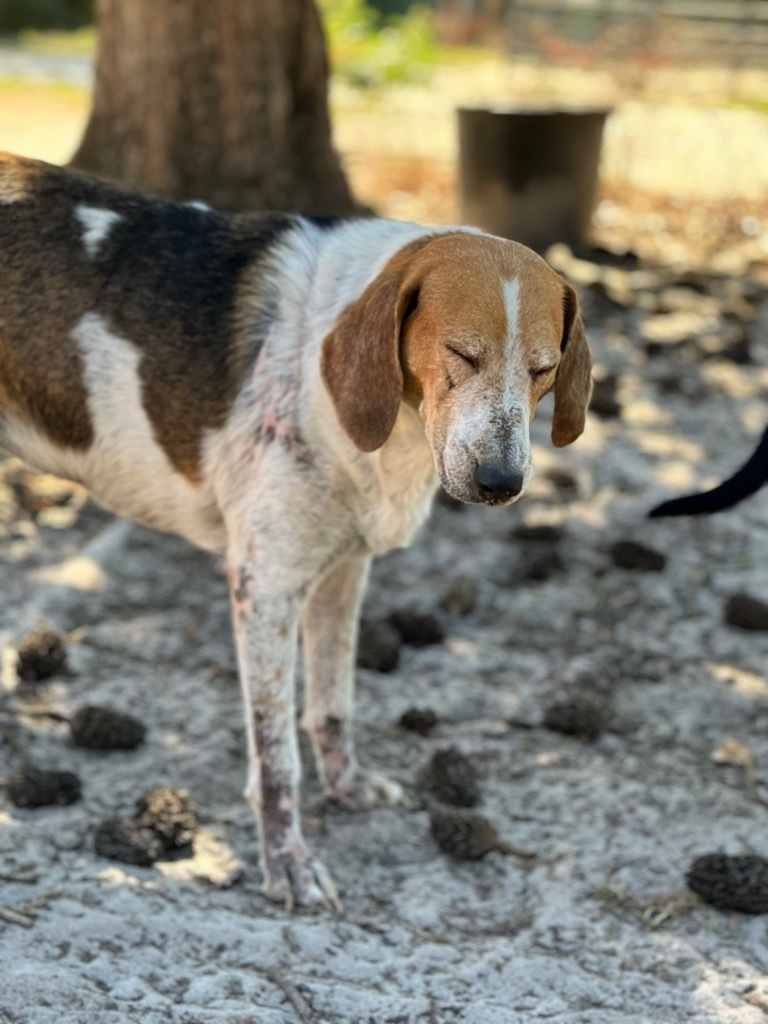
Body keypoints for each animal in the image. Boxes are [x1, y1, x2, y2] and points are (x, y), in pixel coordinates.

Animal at [0, 149, 593, 905]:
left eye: (544, 369)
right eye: (461, 354)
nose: (500, 483)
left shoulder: (344, 571)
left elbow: (332, 704)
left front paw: (347, 787)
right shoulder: (266, 587)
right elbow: (277, 756)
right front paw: (287, 861)